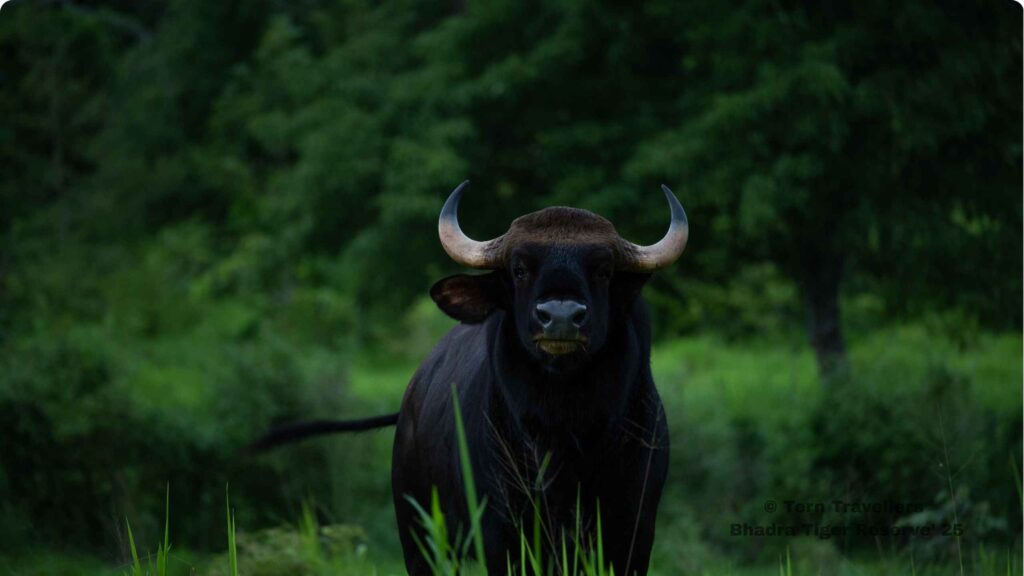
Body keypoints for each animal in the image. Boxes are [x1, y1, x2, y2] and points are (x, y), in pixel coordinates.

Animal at [255, 182, 688, 575]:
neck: (564, 427)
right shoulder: (501, 532)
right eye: (518, 269)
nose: (561, 316)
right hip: (418, 536)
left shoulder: (633, 529)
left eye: (603, 269)